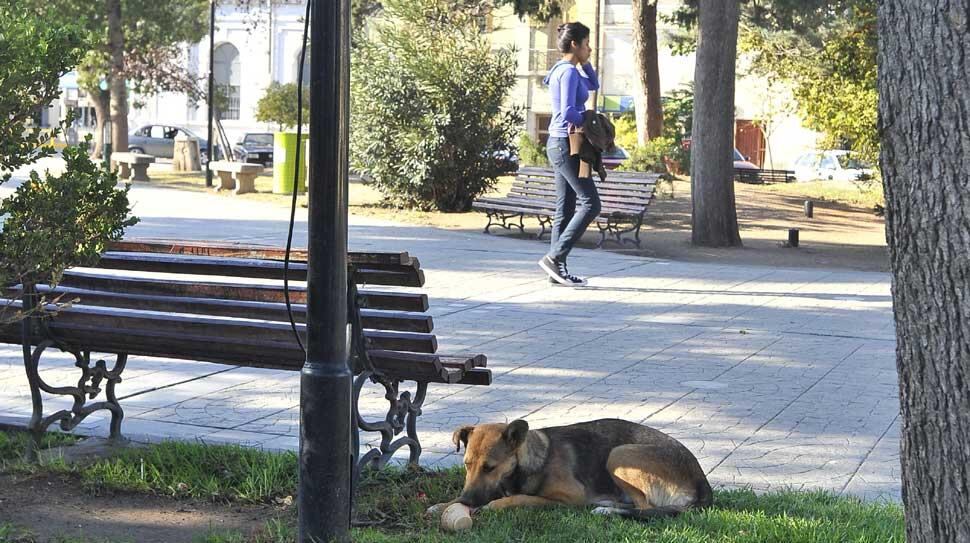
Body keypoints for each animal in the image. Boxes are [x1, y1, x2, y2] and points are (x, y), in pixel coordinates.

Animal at [430, 418, 712, 520]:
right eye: (467, 465)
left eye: (490, 467)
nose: (467, 501)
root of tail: (703, 484)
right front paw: (443, 505)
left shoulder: (569, 498)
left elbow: (522, 498)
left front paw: (493, 505)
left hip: (619, 454)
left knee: (645, 509)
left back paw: (607, 510)